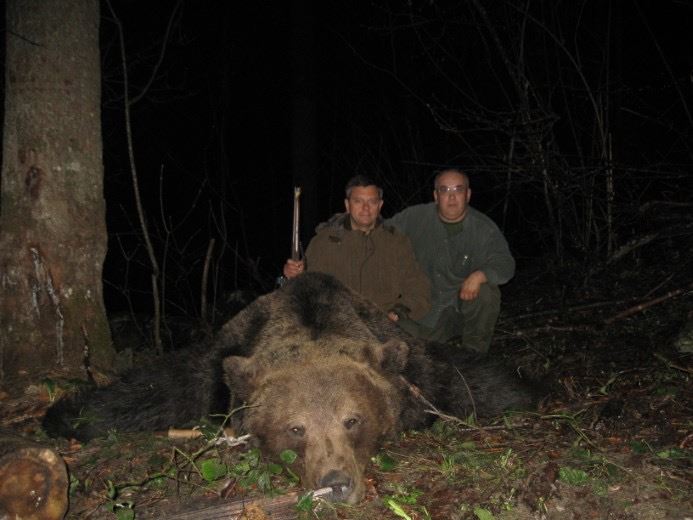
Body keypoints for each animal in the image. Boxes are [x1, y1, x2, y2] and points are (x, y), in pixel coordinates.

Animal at [43, 272, 536, 504]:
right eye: (296, 428)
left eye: (352, 419)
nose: (335, 484)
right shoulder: (216, 364)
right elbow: (154, 390)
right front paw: (65, 414)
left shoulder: (414, 365)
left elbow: (469, 382)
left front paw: (528, 385)